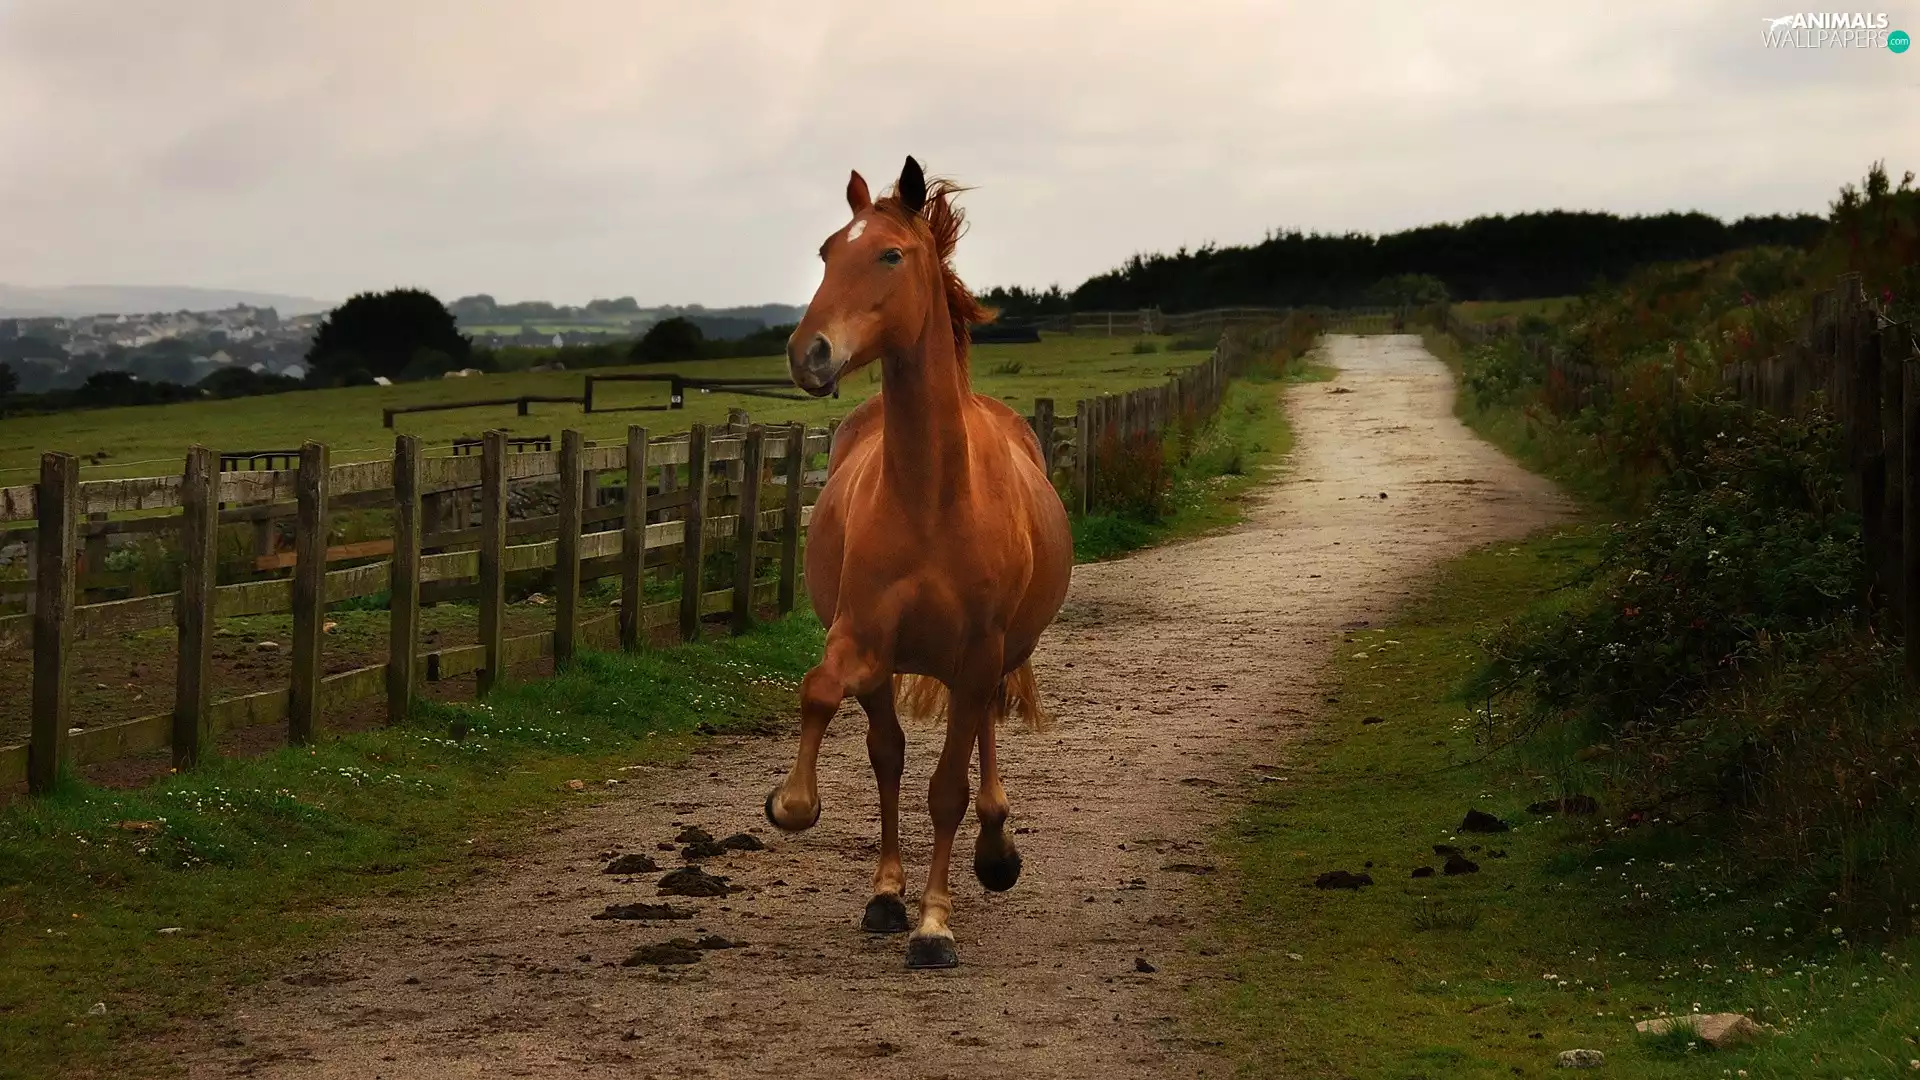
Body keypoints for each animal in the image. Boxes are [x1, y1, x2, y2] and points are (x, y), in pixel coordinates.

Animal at [765, 156, 1074, 969]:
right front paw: (795, 805)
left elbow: (948, 790)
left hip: (999, 656)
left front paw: (936, 925)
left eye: (890, 255)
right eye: (826, 252)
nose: (809, 352)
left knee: (982, 740)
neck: (933, 495)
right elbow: (826, 698)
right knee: (889, 753)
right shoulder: (862, 636)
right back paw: (885, 893)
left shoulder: (978, 652)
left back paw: (994, 853)